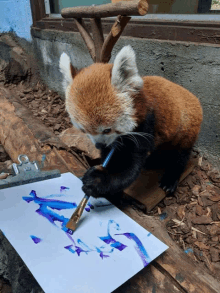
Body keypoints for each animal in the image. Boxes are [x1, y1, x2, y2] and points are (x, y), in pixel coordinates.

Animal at [58, 45, 203, 201]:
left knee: (180, 155)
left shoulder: (147, 124)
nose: (99, 145)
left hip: (187, 128)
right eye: (84, 131)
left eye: (107, 129)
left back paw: (170, 179)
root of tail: (193, 97)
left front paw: (98, 181)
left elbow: (131, 166)